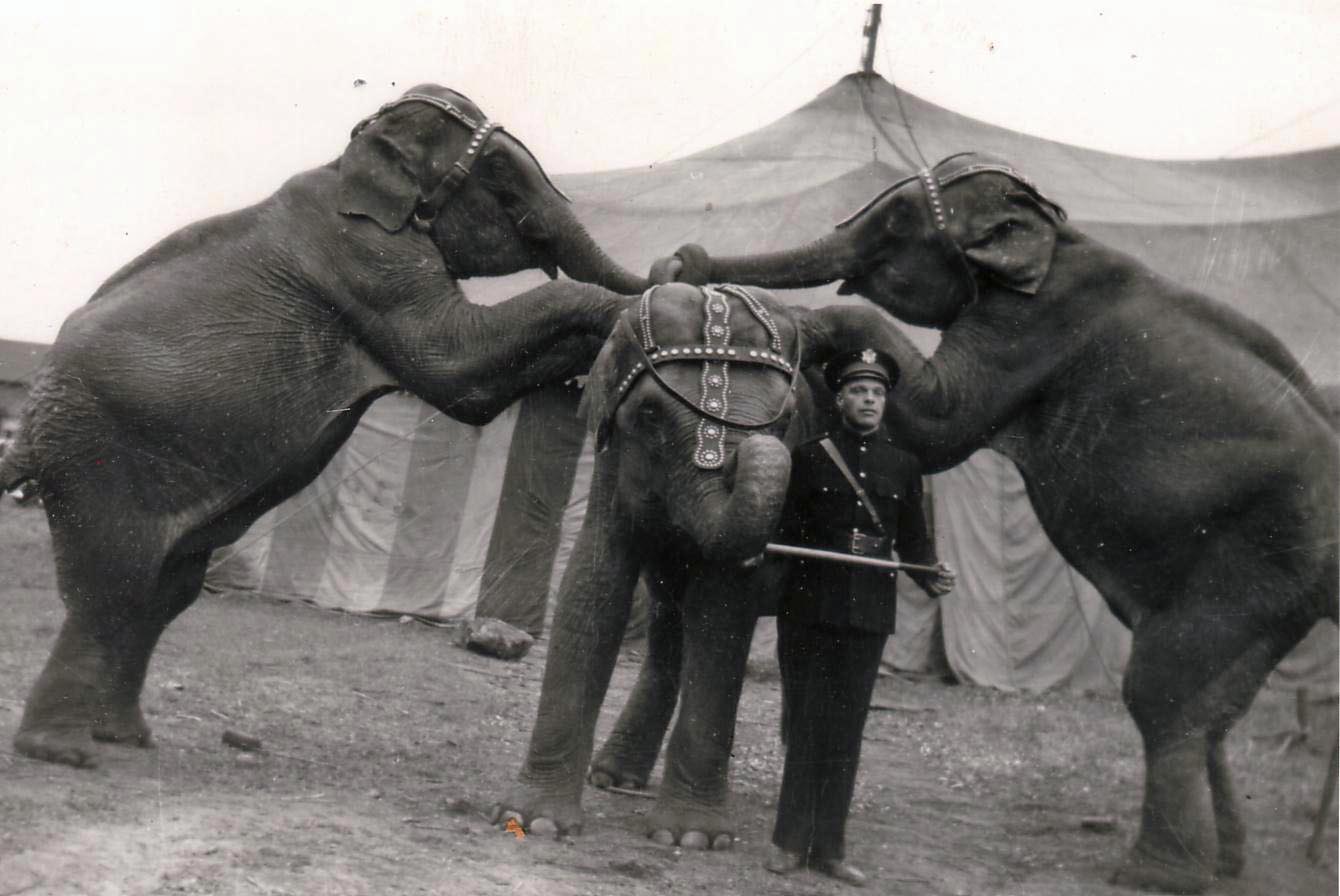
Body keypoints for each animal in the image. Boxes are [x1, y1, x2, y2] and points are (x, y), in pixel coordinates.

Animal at [0, 84, 649, 770]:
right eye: (497, 169)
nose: (679, 259)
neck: (354, 156)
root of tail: (29, 427)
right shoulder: (363, 255)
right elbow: (456, 367)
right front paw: (635, 310)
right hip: (94, 454)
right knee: (113, 589)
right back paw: (61, 751)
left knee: (165, 591)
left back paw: (124, 738)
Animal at [491, 281, 903, 848]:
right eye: (648, 416)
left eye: (786, 421)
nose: (750, 448)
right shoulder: (612, 467)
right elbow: (594, 586)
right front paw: (536, 822)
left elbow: (721, 606)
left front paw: (691, 839)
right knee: (669, 629)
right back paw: (614, 777)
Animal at [653, 152, 1340, 892]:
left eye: (896, 223)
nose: (679, 261)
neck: (1054, 229)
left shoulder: (1031, 325)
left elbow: (938, 422)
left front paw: (804, 327)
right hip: (1274, 583)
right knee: (1212, 704)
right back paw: (1226, 862)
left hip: (1261, 552)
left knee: (1163, 687)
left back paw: (1154, 874)